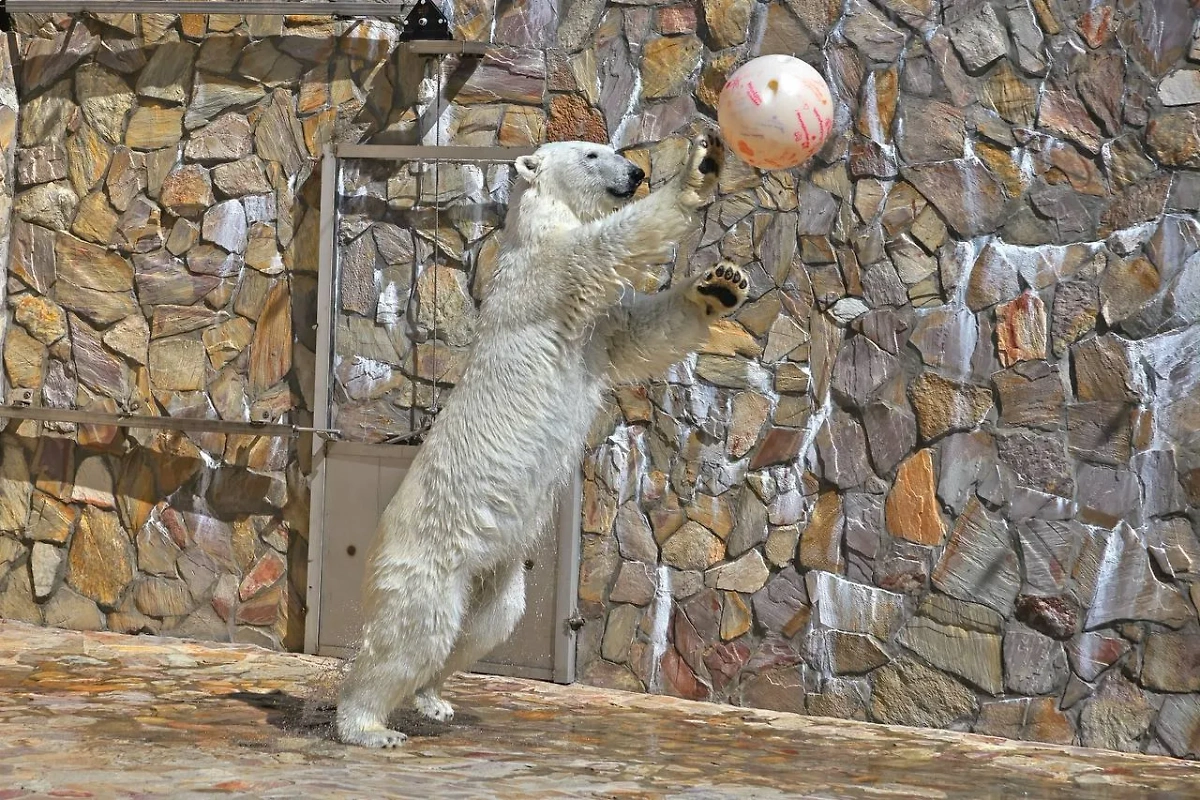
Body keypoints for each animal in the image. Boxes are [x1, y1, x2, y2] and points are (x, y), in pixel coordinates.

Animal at [338, 131, 744, 753]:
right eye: (593, 154)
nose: (637, 172)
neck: (535, 225)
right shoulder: (551, 278)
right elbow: (608, 246)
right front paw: (700, 167)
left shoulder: (600, 329)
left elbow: (643, 332)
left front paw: (720, 285)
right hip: (429, 559)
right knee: (414, 633)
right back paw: (367, 726)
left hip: (493, 569)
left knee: (485, 626)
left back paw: (433, 698)